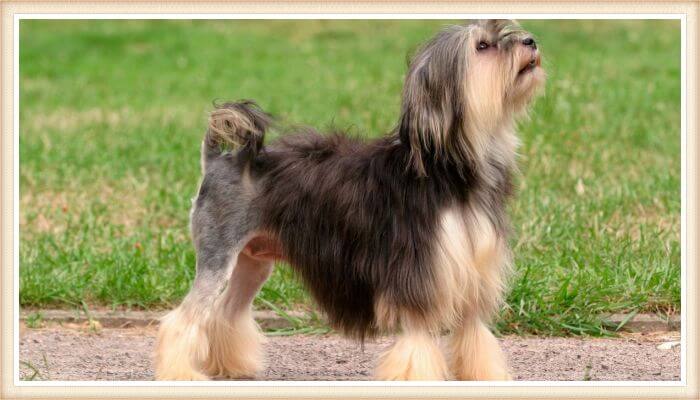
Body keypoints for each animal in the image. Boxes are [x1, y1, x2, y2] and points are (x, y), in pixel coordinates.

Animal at [156, 18, 544, 382]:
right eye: (482, 46)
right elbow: (418, 342)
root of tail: (219, 160)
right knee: (184, 318)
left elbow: (475, 337)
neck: (448, 169)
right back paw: (181, 373)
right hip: (218, 255)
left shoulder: (474, 276)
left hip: (252, 262)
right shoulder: (417, 276)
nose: (530, 40)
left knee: (225, 312)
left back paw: (230, 366)